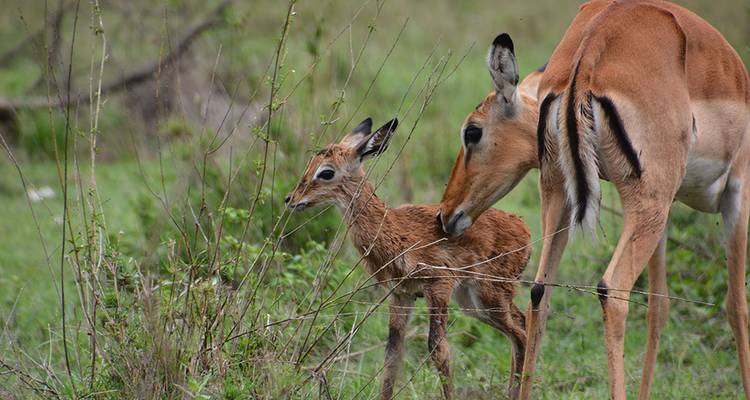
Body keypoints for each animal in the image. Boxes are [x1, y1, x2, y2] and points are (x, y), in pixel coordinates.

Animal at [285, 117, 531, 399]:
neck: (392, 231)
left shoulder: (438, 286)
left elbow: (438, 350)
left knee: (521, 333)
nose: (291, 199)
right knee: (521, 324)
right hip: (473, 302)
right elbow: (392, 356)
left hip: (489, 296)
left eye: (326, 172)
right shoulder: (402, 294)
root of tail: (524, 228)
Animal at [437, 1, 750, 399]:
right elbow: (736, 306)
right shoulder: (735, 191)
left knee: (540, 291)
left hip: (563, 194)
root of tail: (589, 56)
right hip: (646, 202)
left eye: (472, 132)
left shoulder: (673, 207)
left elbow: (660, 306)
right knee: (612, 291)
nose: (444, 215)